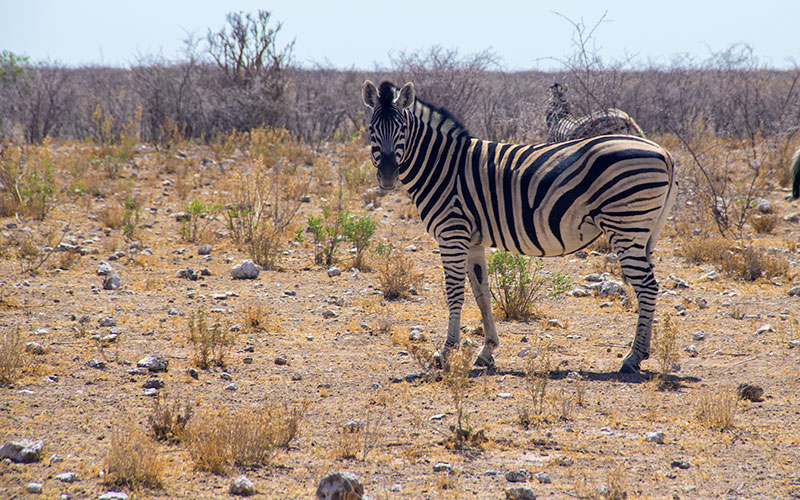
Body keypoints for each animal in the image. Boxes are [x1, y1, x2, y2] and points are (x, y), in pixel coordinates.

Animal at [366, 80, 680, 374]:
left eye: (402, 128)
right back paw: (639, 354)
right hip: (641, 232)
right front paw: (487, 350)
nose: (388, 176)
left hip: (626, 226)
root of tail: (663, 151)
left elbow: (454, 292)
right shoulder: (473, 240)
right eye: (371, 129)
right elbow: (482, 294)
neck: (443, 166)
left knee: (647, 286)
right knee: (647, 285)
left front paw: (446, 353)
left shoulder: (452, 233)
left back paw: (633, 357)